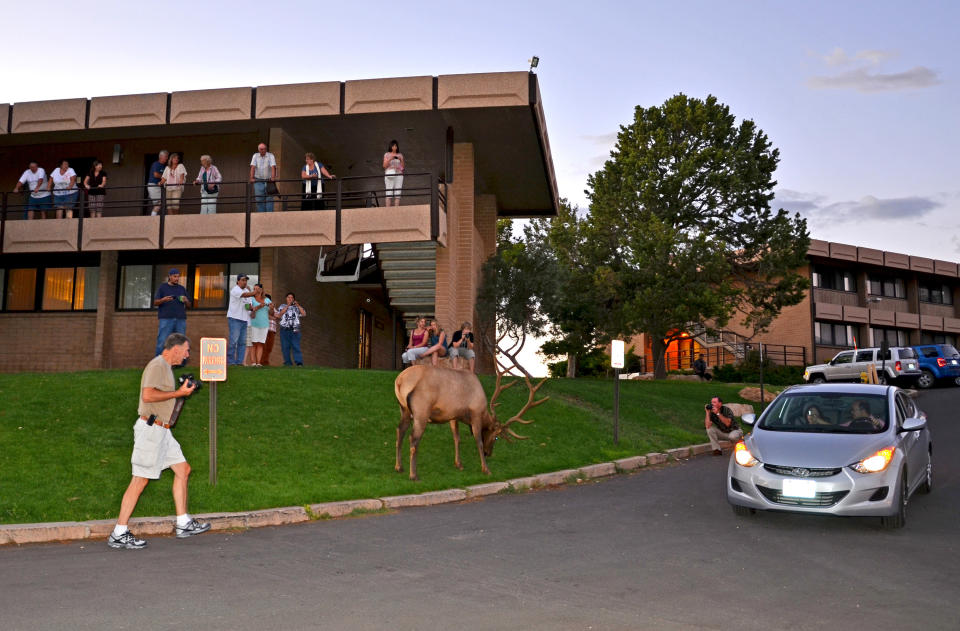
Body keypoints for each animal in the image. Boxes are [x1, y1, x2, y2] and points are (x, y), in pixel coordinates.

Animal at [396, 354, 548, 482]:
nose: (488, 453)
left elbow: (457, 438)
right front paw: (486, 469)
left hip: (404, 409)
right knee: (413, 438)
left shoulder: (453, 415)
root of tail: (399, 381)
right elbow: (478, 441)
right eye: (496, 437)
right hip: (421, 411)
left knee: (400, 431)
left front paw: (459, 464)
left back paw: (399, 467)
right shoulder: (475, 413)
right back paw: (413, 475)